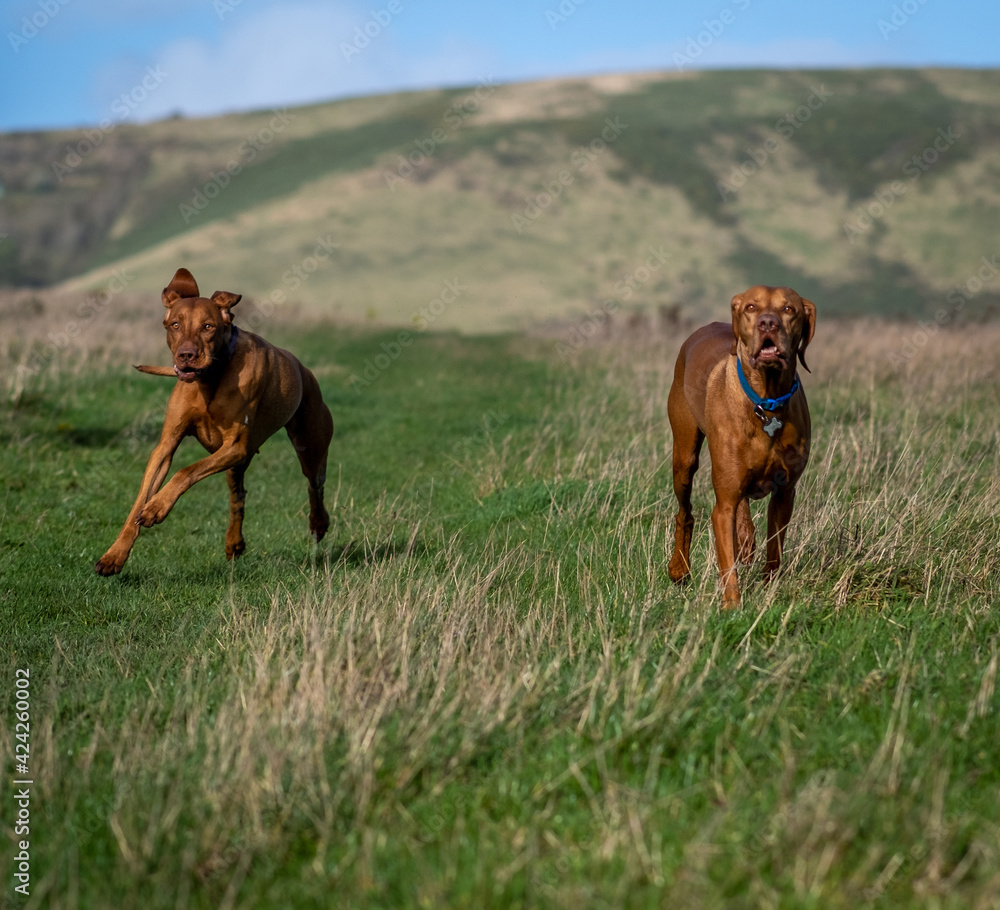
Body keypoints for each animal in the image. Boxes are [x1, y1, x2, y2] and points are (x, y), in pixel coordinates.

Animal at [95, 268, 334, 576]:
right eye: (175, 325)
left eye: (208, 326)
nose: (186, 355)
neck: (210, 377)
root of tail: (304, 370)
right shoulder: (167, 446)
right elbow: (140, 501)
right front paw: (115, 554)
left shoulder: (235, 446)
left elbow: (185, 471)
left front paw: (156, 508)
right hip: (236, 464)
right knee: (238, 494)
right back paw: (234, 542)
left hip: (309, 445)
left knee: (315, 484)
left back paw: (319, 523)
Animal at [664, 288, 812, 608]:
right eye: (751, 307)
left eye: (789, 309)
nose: (768, 323)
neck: (767, 403)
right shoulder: (722, 507)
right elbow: (726, 559)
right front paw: (731, 604)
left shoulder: (785, 493)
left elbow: (774, 549)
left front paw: (769, 588)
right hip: (684, 458)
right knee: (685, 513)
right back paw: (679, 569)